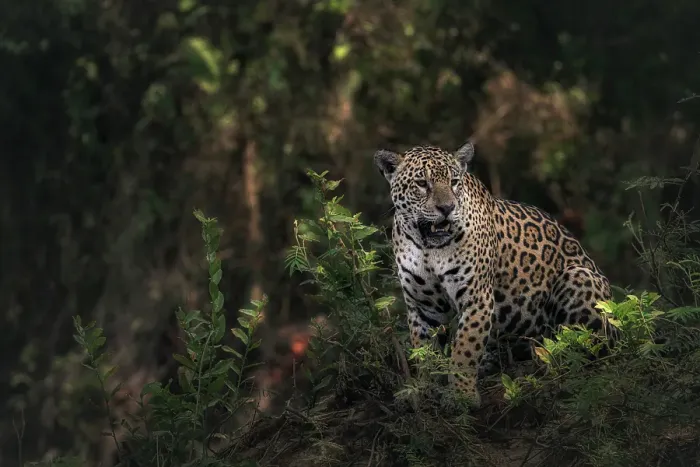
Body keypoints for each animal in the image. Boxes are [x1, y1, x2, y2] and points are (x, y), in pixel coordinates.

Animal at [374, 141, 618, 407]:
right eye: (421, 183)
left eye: (454, 182)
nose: (447, 208)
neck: (429, 247)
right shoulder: (423, 305)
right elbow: (424, 350)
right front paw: (424, 388)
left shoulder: (477, 298)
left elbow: (466, 348)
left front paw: (462, 394)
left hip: (578, 278)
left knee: (591, 347)